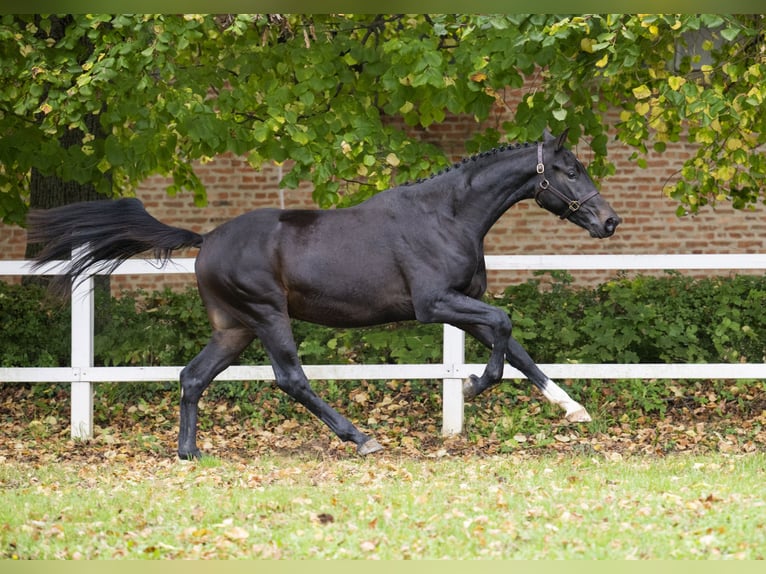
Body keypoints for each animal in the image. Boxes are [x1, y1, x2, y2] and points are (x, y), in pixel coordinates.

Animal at [30, 130, 624, 460]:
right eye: (570, 169)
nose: (609, 222)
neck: (447, 216)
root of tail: (207, 240)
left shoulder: (458, 305)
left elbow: (516, 345)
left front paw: (573, 409)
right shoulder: (434, 304)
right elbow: (503, 326)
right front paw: (474, 385)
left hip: (235, 328)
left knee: (192, 377)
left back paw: (189, 453)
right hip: (268, 316)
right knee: (290, 378)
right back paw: (360, 439)